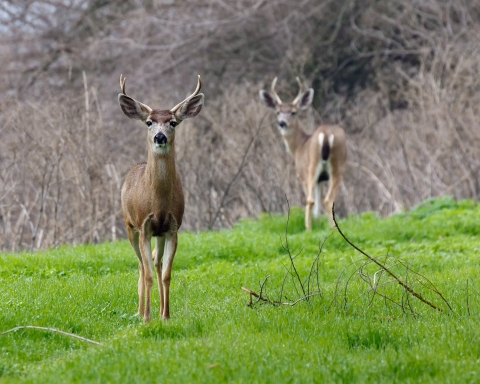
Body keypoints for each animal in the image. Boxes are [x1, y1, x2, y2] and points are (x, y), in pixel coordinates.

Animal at [118, 75, 204, 320]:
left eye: (173, 122)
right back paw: (140, 312)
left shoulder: (173, 227)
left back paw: (158, 310)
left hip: (159, 234)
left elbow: (166, 274)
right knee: (140, 265)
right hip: (130, 226)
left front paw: (166, 316)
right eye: (149, 122)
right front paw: (147, 319)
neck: (158, 203)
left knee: (155, 262)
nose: (159, 136)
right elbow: (147, 274)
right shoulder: (144, 225)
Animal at [260, 76, 346, 230]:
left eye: (293, 112)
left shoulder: (302, 173)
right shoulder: (321, 179)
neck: (299, 147)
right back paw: (332, 228)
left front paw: (312, 227)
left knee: (313, 200)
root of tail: (326, 134)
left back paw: (309, 229)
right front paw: (319, 225)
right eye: (278, 112)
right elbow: (317, 210)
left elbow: (313, 202)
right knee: (328, 200)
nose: (282, 123)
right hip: (339, 164)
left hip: (312, 167)